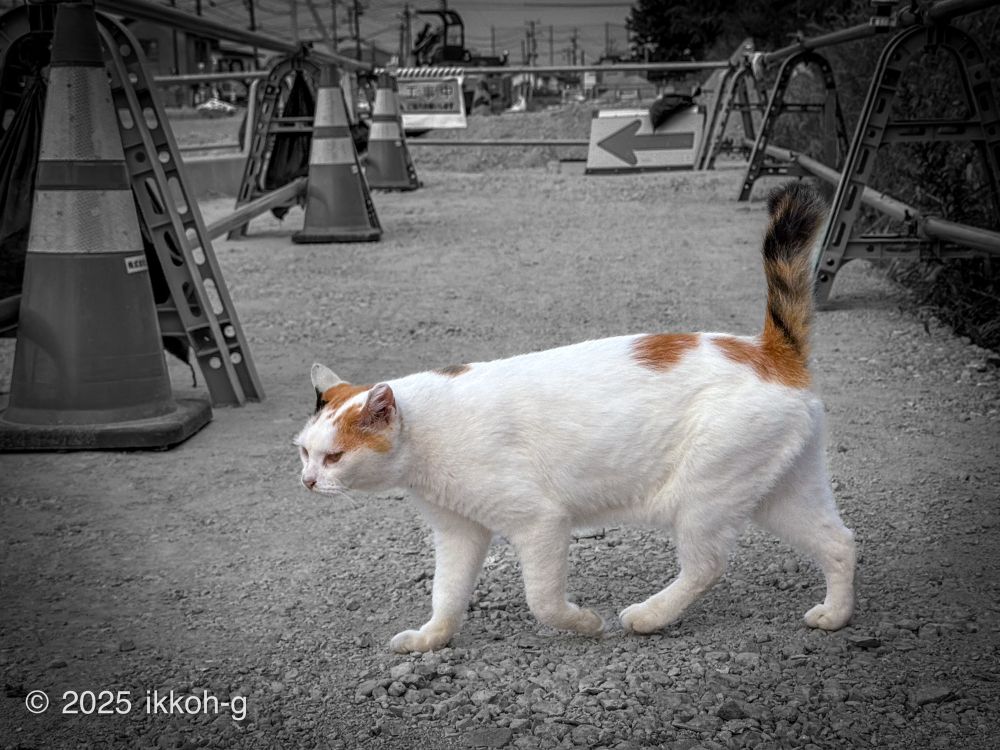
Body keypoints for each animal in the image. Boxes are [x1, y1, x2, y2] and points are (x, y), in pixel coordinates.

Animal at [295, 182, 856, 653]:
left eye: (334, 457)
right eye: (303, 452)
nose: (307, 481)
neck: (424, 440)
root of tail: (768, 350)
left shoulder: (540, 522)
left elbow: (542, 601)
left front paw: (583, 623)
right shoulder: (460, 533)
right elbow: (447, 596)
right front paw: (431, 639)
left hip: (704, 497)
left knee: (708, 565)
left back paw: (649, 615)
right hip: (781, 493)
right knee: (840, 542)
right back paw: (836, 615)